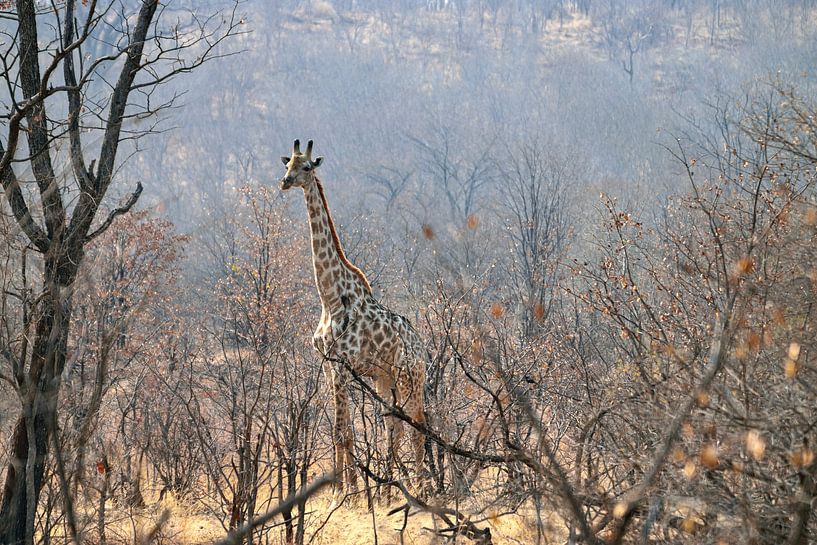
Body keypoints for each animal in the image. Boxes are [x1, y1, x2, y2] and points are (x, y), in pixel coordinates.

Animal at [279, 139, 428, 498]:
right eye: (287, 164)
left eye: (307, 167)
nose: (285, 182)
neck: (330, 297)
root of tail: (423, 348)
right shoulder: (329, 366)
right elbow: (342, 430)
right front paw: (347, 489)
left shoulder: (343, 366)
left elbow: (343, 432)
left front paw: (347, 492)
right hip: (386, 379)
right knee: (393, 426)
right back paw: (387, 490)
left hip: (411, 377)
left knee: (417, 426)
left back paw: (422, 489)